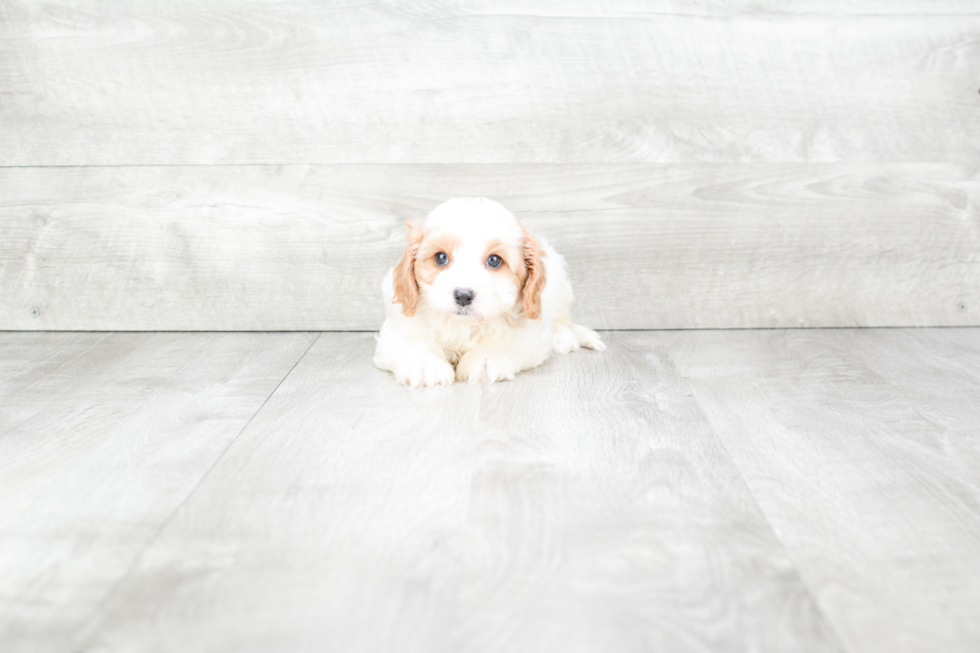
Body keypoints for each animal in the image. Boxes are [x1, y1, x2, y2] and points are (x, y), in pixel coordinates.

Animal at [376, 196, 604, 384]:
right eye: (440, 257)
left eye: (494, 260)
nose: (463, 295)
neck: (463, 325)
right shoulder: (399, 328)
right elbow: (412, 342)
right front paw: (425, 366)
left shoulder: (531, 333)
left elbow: (506, 342)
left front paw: (485, 360)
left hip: (558, 286)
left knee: (562, 320)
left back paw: (561, 337)